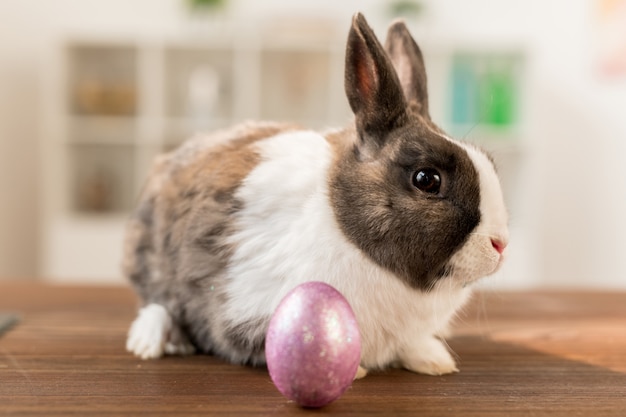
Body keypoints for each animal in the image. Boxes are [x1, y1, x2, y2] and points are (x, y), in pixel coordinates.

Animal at [123, 13, 508, 376]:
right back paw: (149, 343)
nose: (501, 245)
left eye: (490, 161)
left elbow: (413, 345)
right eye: (427, 179)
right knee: (157, 302)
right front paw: (354, 372)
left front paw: (435, 362)